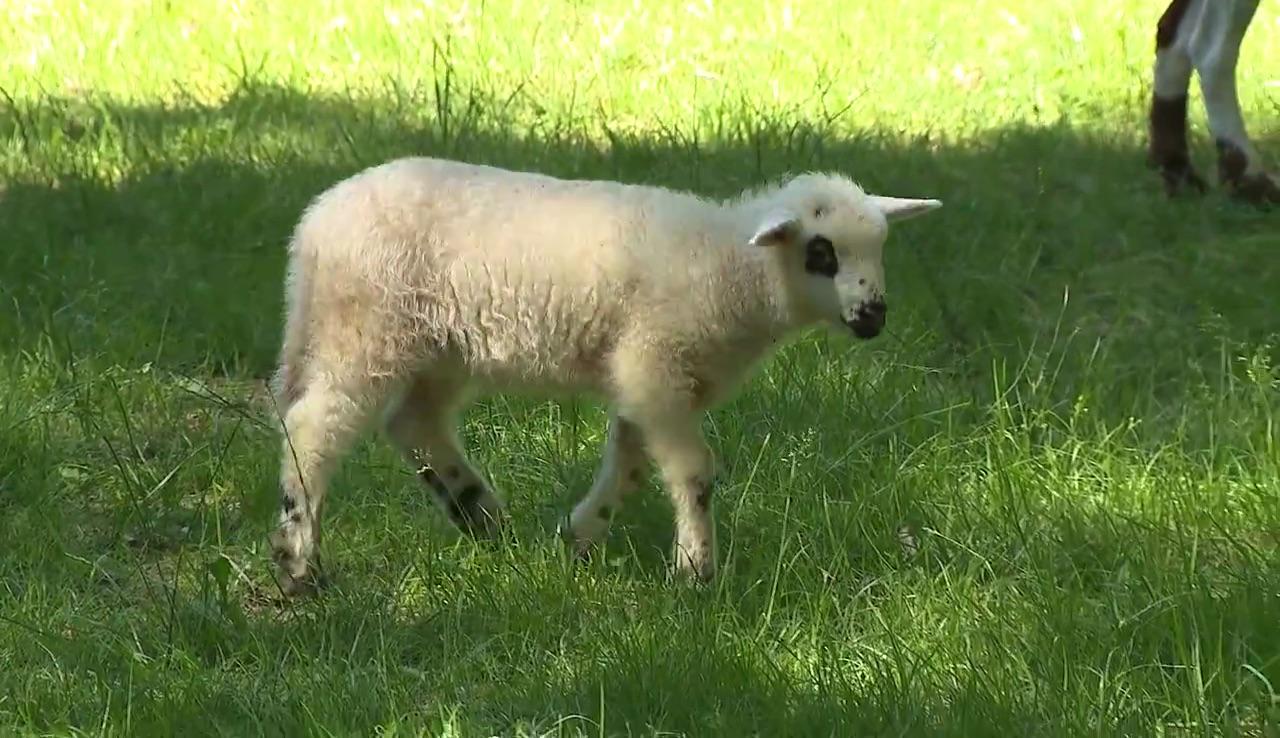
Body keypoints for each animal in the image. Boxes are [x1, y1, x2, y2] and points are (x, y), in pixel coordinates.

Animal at [267, 156, 941, 596]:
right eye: (821, 252)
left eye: (879, 248)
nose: (873, 316)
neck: (730, 268)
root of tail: (314, 224)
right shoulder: (655, 366)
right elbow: (693, 472)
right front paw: (696, 572)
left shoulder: (645, 380)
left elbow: (631, 465)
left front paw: (580, 536)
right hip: (365, 330)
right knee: (313, 427)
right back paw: (300, 556)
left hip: (438, 346)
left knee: (415, 423)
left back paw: (482, 516)